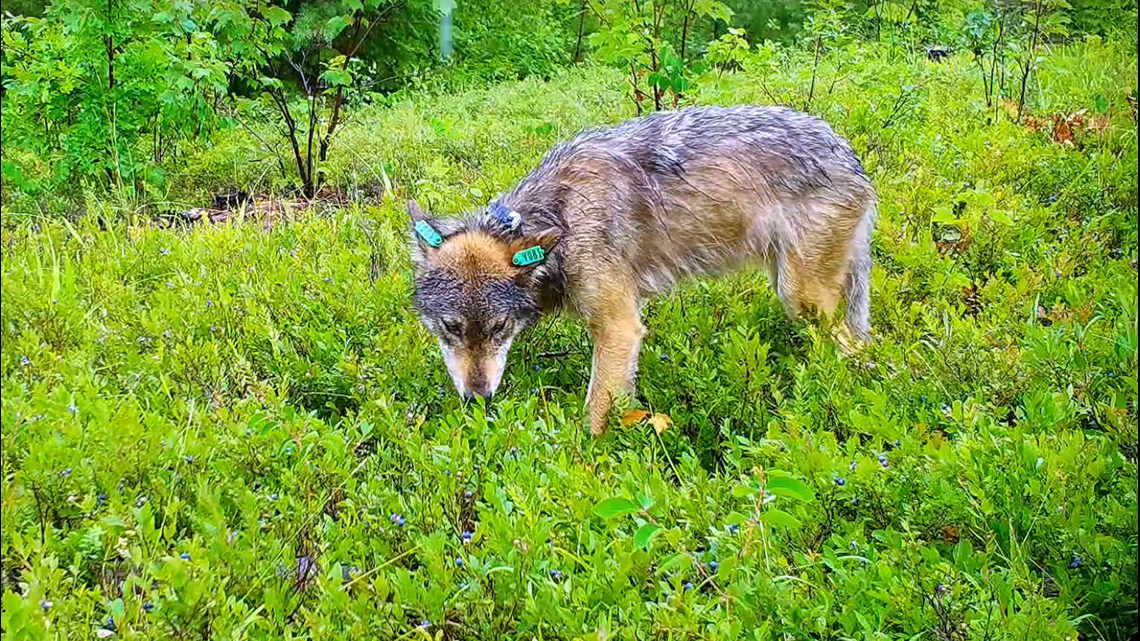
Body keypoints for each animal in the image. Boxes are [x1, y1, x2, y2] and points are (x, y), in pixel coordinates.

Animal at [407, 105, 875, 436]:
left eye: (499, 327)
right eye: (451, 328)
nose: (477, 398)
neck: (561, 219)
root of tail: (851, 156)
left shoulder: (619, 328)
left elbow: (595, 414)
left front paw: (587, 466)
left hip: (801, 298)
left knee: (854, 349)